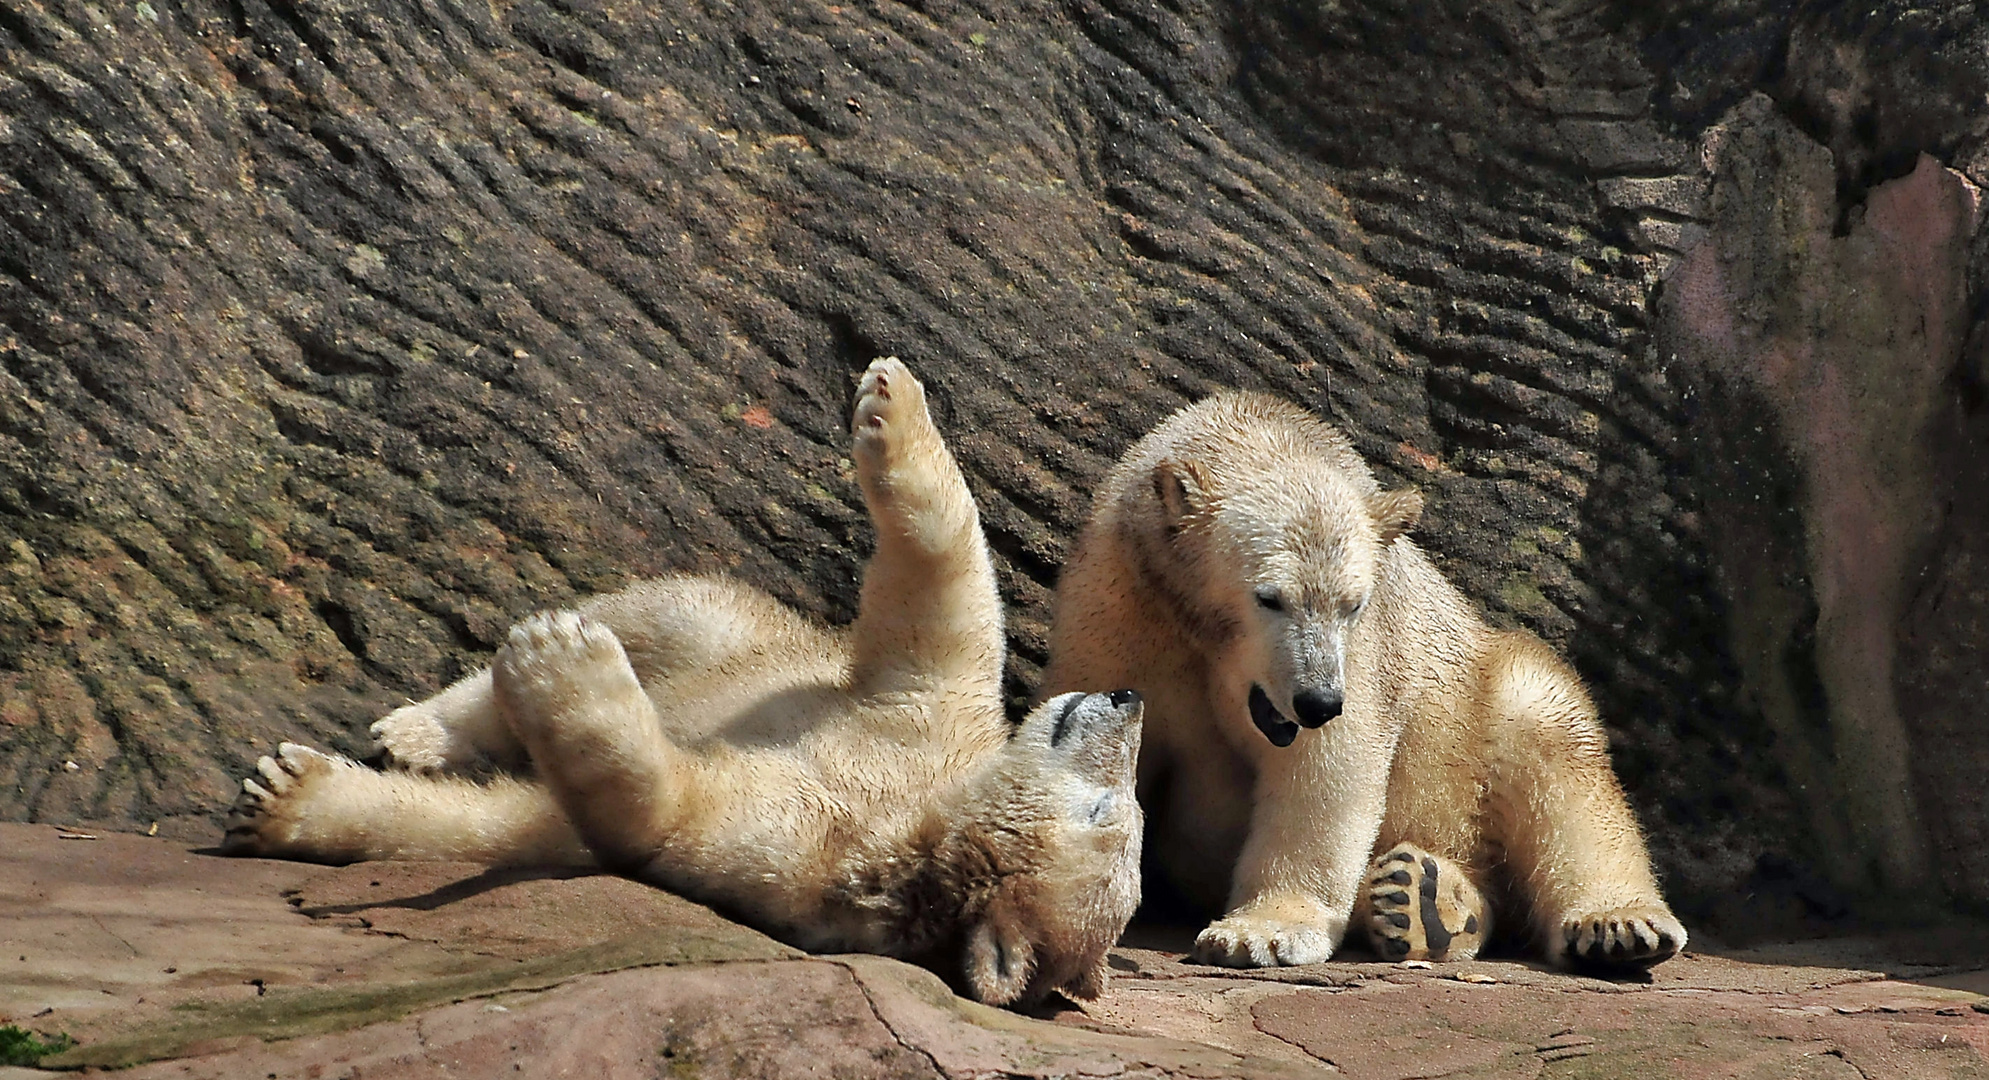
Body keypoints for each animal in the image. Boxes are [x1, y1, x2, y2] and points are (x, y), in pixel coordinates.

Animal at [223, 360, 1145, 1010]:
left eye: (1112, 816)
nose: (1126, 699)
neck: (904, 816)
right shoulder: (926, 721)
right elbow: (944, 600)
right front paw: (891, 397)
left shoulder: (793, 861)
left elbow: (598, 817)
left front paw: (283, 796)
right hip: (742, 629)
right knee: (666, 613)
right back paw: (421, 728)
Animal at [1042, 393, 1678, 974]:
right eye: (1269, 597)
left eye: (1353, 604)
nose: (1318, 701)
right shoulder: (1117, 606)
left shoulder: (1366, 656)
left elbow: (1329, 767)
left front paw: (1261, 932)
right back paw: (1421, 901)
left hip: (1476, 706)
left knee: (1553, 748)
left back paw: (1609, 924)